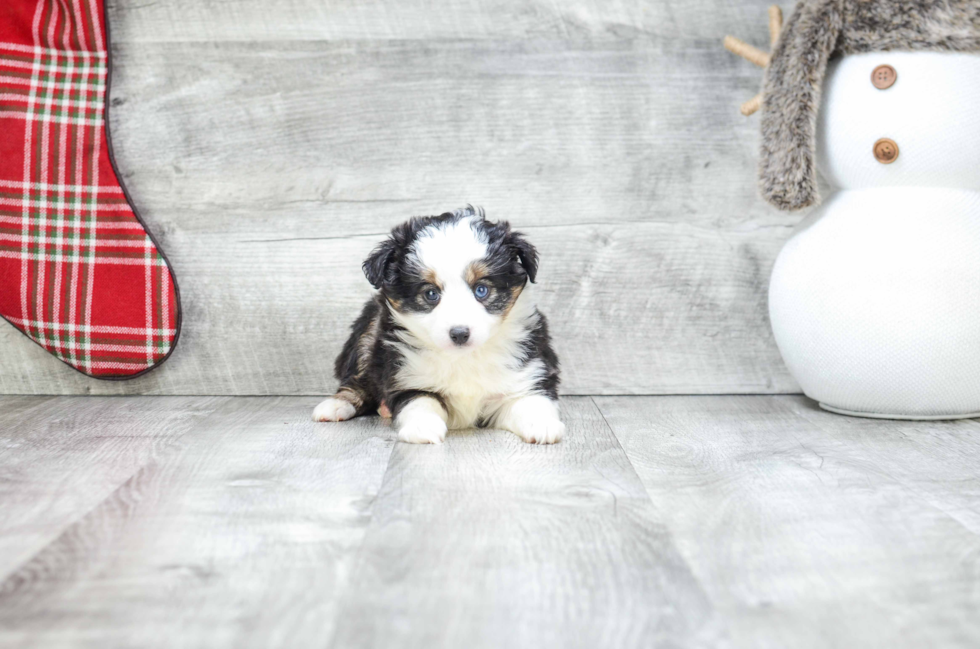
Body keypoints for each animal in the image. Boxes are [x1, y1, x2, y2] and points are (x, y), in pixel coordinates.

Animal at [310, 208, 564, 446]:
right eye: (431, 294)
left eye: (481, 290)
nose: (459, 334)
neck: (463, 358)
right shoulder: (406, 377)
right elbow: (421, 401)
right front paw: (422, 427)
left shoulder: (527, 375)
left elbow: (530, 402)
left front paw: (543, 425)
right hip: (368, 333)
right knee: (356, 380)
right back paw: (334, 406)